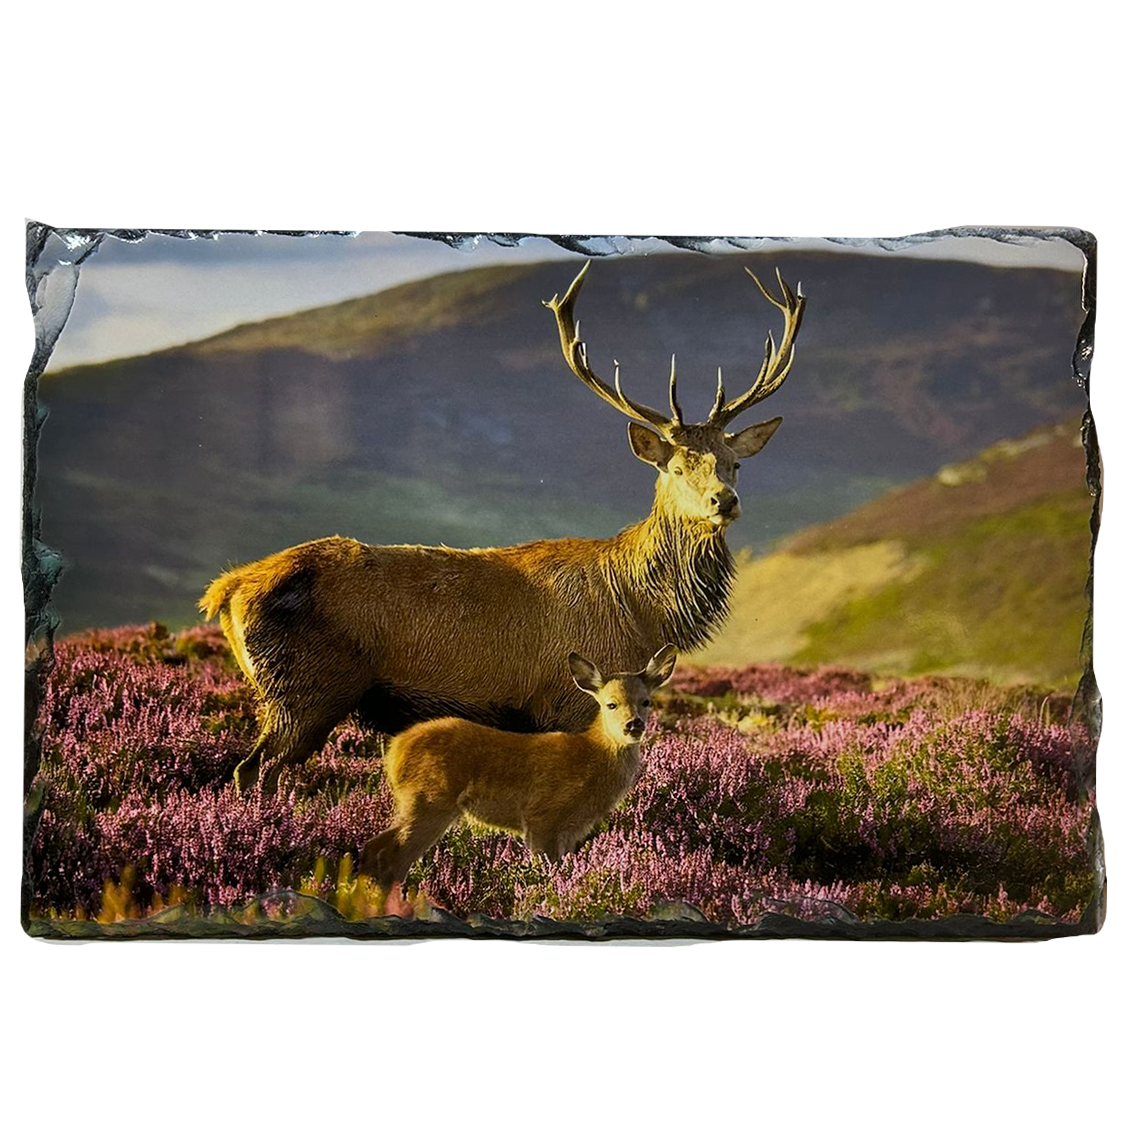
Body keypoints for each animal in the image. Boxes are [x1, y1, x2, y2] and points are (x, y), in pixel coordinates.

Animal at [200, 262, 805, 796]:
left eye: (734, 463)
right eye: (676, 467)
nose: (724, 501)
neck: (642, 610)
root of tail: (226, 590)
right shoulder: (567, 699)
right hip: (305, 690)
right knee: (252, 769)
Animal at [360, 645, 678, 889]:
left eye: (646, 701)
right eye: (611, 704)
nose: (633, 725)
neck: (590, 758)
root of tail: (395, 752)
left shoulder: (571, 831)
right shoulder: (542, 815)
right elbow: (546, 871)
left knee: (379, 849)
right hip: (430, 800)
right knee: (391, 855)